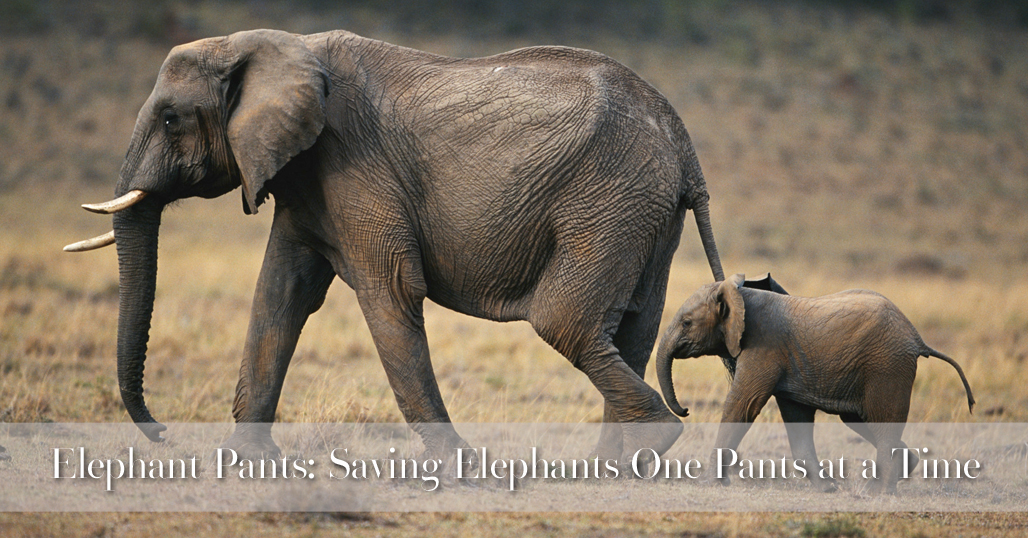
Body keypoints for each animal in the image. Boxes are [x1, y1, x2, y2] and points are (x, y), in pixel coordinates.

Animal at [64, 29, 726, 462]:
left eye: (171, 119)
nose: (161, 432)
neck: (265, 44)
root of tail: (684, 142)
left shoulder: (353, 163)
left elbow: (390, 291)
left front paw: (460, 469)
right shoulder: (307, 179)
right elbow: (280, 294)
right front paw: (246, 461)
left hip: (610, 196)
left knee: (565, 321)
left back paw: (651, 440)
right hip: (645, 212)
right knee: (632, 329)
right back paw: (611, 468)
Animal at [655, 274, 975, 493]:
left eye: (686, 323)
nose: (685, 410)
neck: (740, 294)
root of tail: (917, 337)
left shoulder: (763, 347)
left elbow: (742, 405)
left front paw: (709, 483)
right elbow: (795, 416)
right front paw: (828, 488)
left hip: (887, 366)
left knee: (883, 420)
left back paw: (877, 492)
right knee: (860, 419)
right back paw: (904, 469)